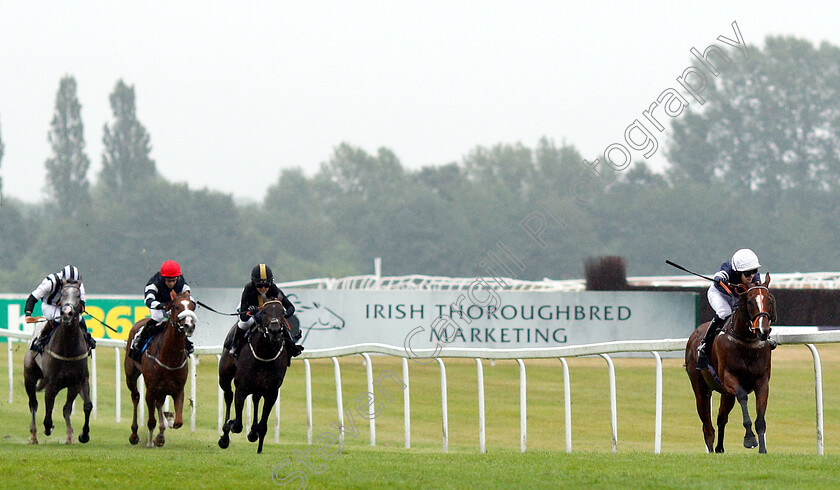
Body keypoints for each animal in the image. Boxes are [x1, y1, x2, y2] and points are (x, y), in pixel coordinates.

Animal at [22, 280, 92, 444]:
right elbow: (48, 408)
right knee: (33, 404)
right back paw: (33, 435)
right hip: (29, 377)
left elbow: (84, 406)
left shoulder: (78, 381)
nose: (66, 313)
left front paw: (82, 435)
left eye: (78, 295)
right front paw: (48, 427)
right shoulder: (51, 383)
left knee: (65, 409)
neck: (68, 349)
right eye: (63, 294)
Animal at [124, 290, 196, 448]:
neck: (169, 357)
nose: (189, 325)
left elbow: (178, 422)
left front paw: (160, 435)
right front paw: (151, 440)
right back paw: (134, 434)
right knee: (136, 397)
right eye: (176, 306)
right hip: (131, 375)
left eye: (193, 306)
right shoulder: (150, 389)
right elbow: (151, 420)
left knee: (159, 403)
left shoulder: (178, 389)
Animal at [218, 300, 290, 454]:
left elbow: (263, 424)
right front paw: (229, 424)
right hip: (224, 377)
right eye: (264, 312)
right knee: (228, 395)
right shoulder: (242, 388)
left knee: (256, 399)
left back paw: (252, 432)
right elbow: (237, 425)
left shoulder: (272, 392)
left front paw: (257, 440)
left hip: (258, 387)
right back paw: (225, 435)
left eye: (282, 312)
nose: (275, 331)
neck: (265, 354)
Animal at [684, 274, 776, 454]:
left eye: (769, 300)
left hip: (726, 394)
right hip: (701, 388)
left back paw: (720, 448)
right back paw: (711, 449)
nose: (763, 330)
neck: (745, 340)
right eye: (749, 301)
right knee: (707, 427)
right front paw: (749, 438)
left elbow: (760, 418)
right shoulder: (729, 378)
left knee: (721, 419)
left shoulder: (762, 381)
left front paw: (763, 449)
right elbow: (742, 396)